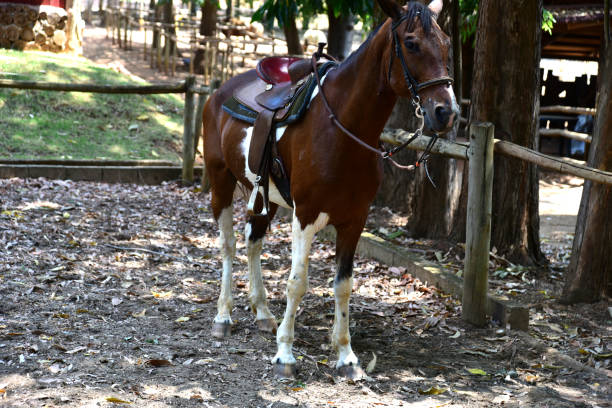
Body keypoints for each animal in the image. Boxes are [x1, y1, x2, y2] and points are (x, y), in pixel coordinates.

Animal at [202, 0, 460, 380]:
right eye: (411, 43)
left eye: (446, 44)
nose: (446, 112)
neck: (343, 128)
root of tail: (220, 91)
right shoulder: (306, 216)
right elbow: (297, 282)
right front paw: (285, 354)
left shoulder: (354, 220)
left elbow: (343, 286)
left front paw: (346, 356)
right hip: (220, 182)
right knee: (229, 246)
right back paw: (223, 316)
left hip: (263, 196)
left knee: (252, 243)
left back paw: (262, 313)